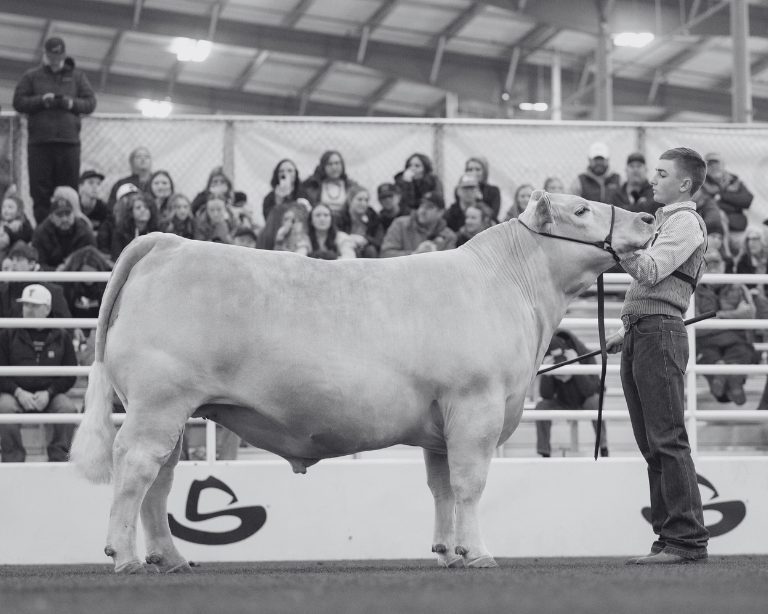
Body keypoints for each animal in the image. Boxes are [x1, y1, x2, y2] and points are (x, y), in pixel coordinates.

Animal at [69, 191, 655, 574]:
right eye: (582, 209)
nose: (649, 215)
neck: (509, 288)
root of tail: (167, 243)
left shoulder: (443, 422)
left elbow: (441, 487)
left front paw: (448, 552)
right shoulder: (476, 404)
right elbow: (470, 485)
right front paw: (480, 554)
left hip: (169, 408)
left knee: (159, 480)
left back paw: (169, 559)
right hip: (158, 402)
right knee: (135, 468)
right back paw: (124, 557)